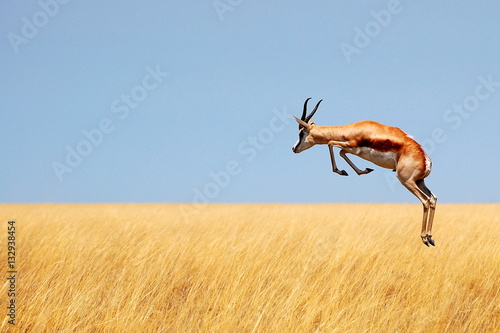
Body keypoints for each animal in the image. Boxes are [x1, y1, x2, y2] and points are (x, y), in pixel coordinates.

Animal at [292, 97, 436, 245]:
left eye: (301, 132)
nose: (293, 148)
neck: (352, 129)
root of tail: (425, 159)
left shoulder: (350, 145)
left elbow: (331, 143)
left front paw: (341, 171)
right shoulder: (350, 149)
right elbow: (341, 153)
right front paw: (363, 170)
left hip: (407, 181)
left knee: (425, 201)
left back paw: (424, 238)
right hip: (419, 181)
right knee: (433, 199)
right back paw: (430, 237)